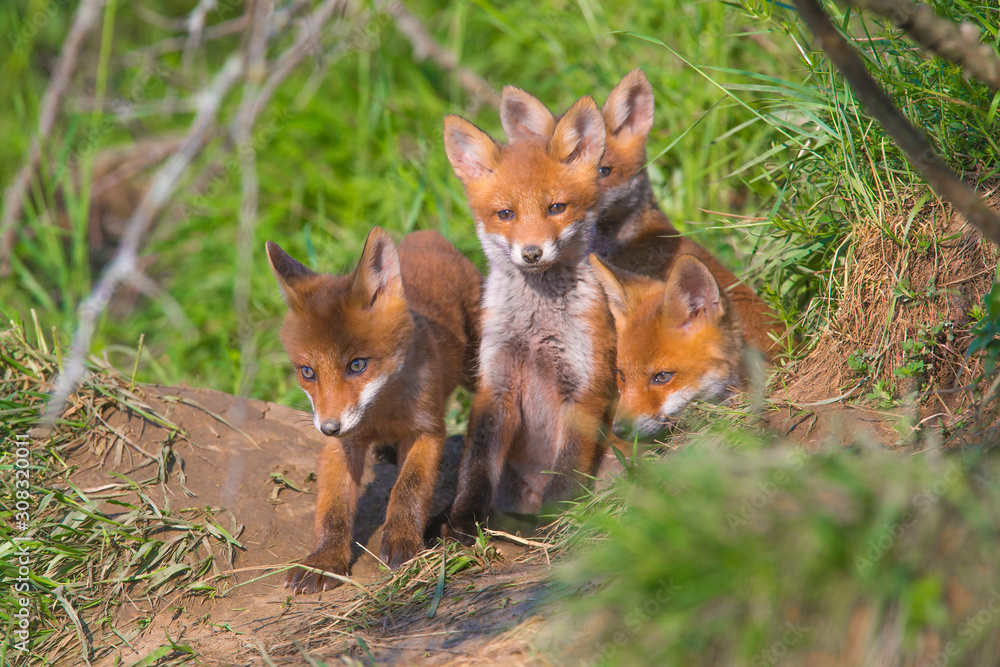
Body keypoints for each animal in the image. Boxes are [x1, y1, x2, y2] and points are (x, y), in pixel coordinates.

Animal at [266, 227, 481, 593]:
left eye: (357, 365)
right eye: (307, 372)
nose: (328, 427)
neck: (383, 414)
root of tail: (427, 235)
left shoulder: (427, 431)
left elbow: (408, 488)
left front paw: (402, 541)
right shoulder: (343, 444)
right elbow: (333, 508)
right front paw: (325, 559)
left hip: (476, 366)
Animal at [442, 96, 617, 543]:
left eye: (556, 208)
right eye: (506, 214)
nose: (532, 253)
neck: (537, 329)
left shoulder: (585, 386)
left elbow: (566, 470)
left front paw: (552, 523)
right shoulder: (496, 382)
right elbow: (476, 464)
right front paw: (462, 521)